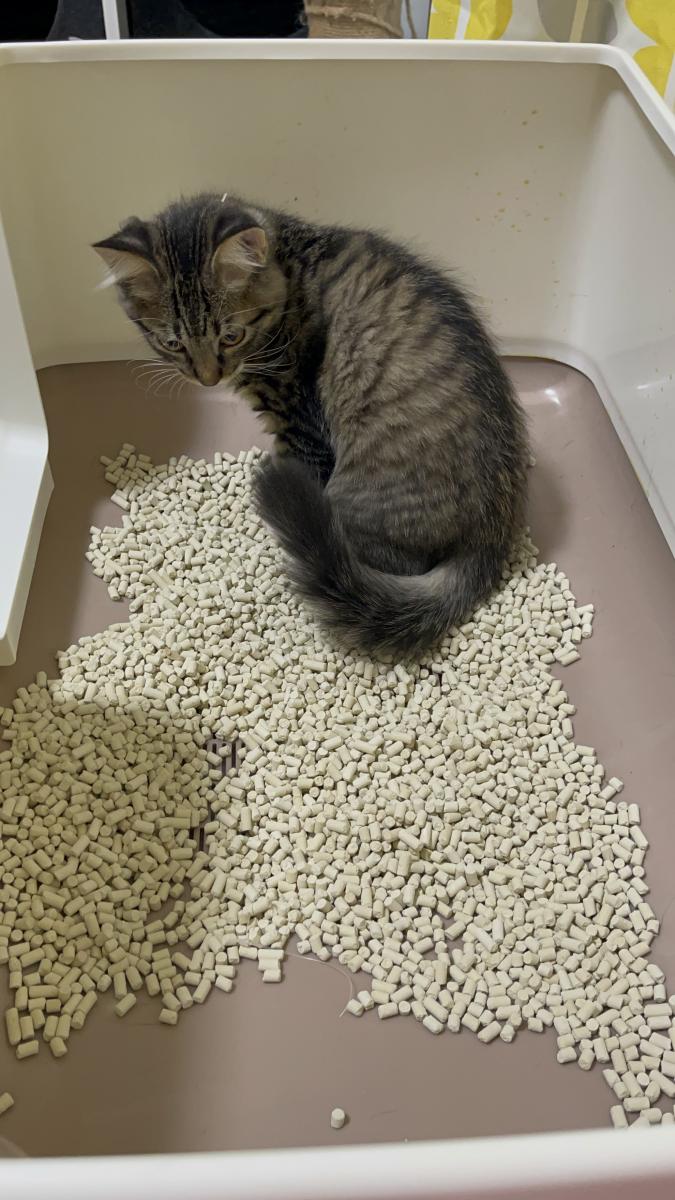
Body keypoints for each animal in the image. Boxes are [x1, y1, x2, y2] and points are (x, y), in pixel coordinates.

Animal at [93, 193, 528, 657]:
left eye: (230, 335)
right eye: (172, 343)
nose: (208, 378)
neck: (291, 261)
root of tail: (490, 536)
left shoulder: (300, 424)